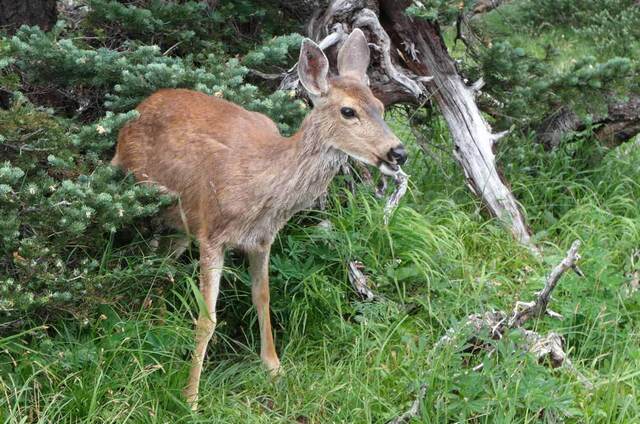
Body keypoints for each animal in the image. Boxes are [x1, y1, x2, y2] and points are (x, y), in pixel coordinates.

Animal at [111, 29, 407, 407]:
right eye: (348, 111)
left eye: (381, 108)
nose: (398, 151)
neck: (261, 187)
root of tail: (134, 114)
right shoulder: (212, 232)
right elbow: (207, 318)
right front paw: (190, 397)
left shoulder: (263, 239)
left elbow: (263, 298)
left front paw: (274, 367)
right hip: (138, 195)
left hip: (179, 227)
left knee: (160, 263)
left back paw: (153, 317)